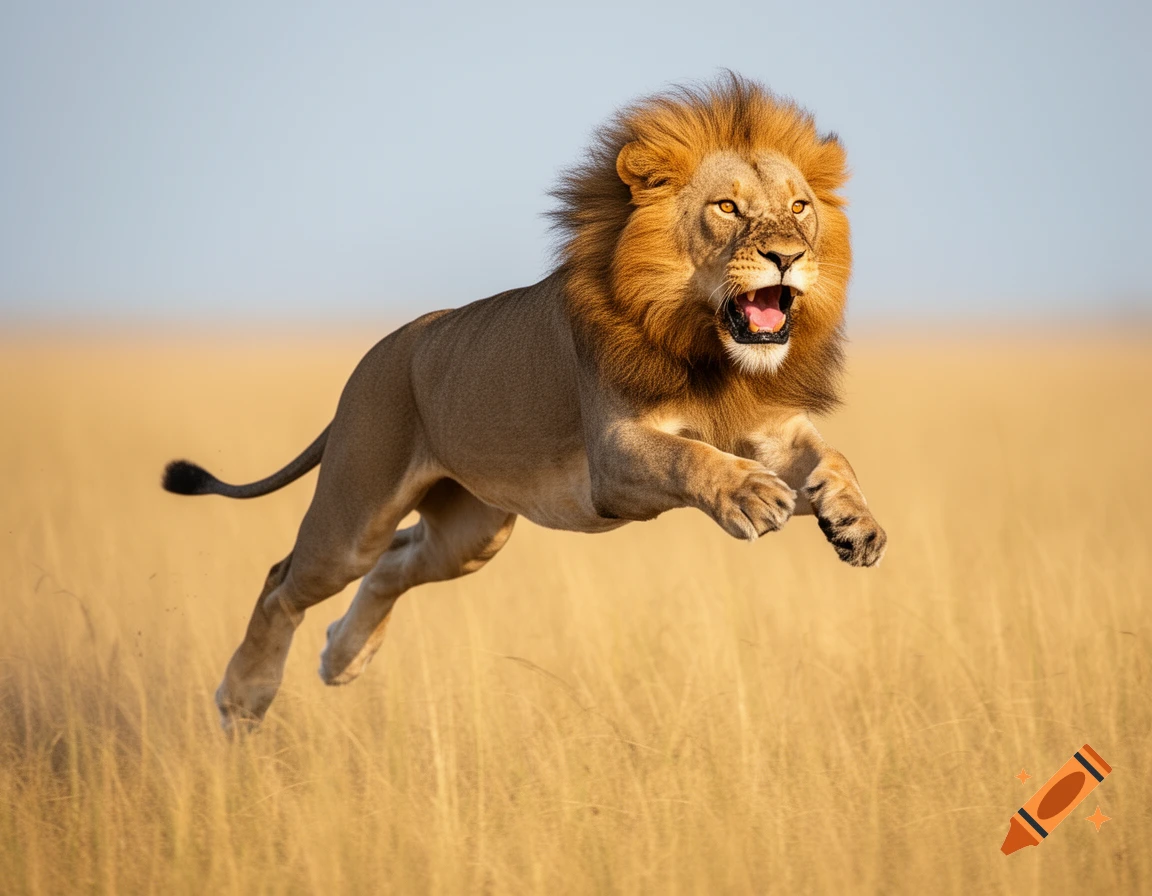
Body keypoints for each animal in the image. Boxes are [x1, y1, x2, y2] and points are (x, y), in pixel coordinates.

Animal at [163, 74, 887, 733]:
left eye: (800, 207)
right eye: (728, 209)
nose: (787, 256)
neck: (712, 350)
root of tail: (377, 356)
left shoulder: (770, 427)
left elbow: (835, 457)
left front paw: (854, 523)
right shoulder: (614, 456)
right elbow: (688, 456)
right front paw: (751, 495)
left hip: (470, 533)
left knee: (396, 563)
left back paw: (343, 658)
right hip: (355, 515)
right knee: (284, 579)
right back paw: (244, 697)